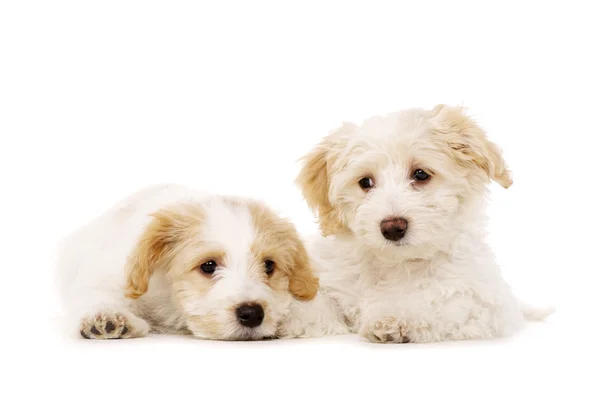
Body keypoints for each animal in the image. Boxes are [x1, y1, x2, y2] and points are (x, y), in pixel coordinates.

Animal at [56, 184, 318, 340]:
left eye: (269, 266)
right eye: (208, 265)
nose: (253, 314)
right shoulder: (107, 275)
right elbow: (96, 294)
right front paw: (106, 317)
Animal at [284, 104, 556, 344]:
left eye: (421, 174)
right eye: (365, 182)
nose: (392, 227)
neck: (396, 263)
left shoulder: (481, 303)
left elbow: (439, 301)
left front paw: (395, 315)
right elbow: (319, 299)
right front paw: (289, 315)